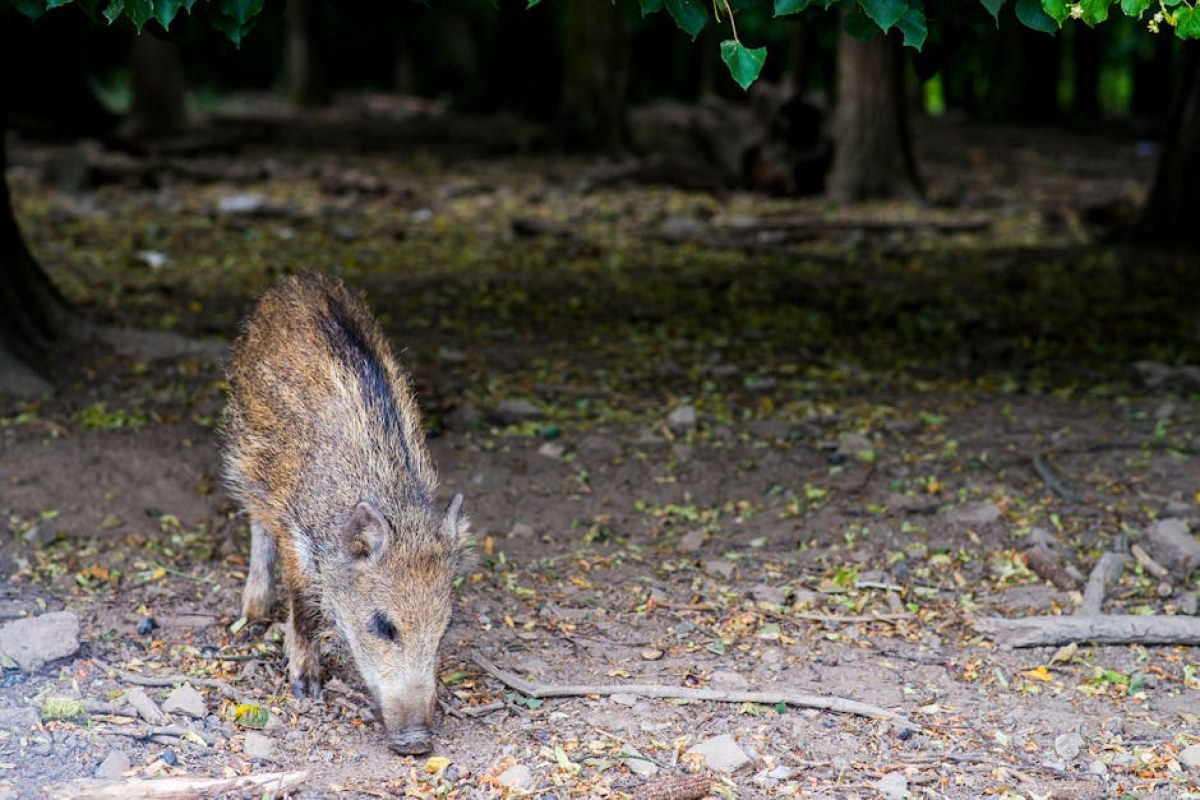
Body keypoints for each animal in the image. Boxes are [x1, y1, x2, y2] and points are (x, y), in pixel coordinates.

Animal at [222, 272, 467, 755]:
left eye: (445, 625)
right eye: (383, 626)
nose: (417, 742)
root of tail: (297, 280)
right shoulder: (295, 528)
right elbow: (304, 607)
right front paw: (306, 686)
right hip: (247, 451)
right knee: (256, 522)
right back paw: (254, 615)